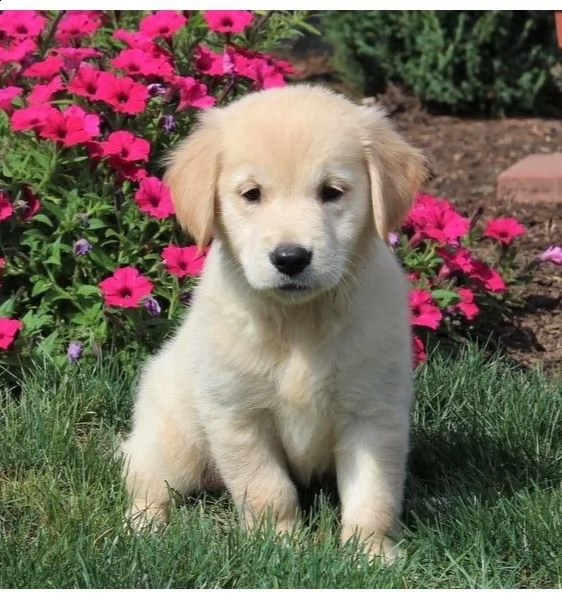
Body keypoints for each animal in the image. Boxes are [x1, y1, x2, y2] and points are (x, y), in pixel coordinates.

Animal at [120, 83, 422, 564]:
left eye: (332, 191)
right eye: (252, 194)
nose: (290, 258)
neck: (299, 320)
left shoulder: (373, 411)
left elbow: (374, 493)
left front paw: (371, 554)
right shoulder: (237, 414)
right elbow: (267, 489)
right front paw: (280, 543)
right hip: (175, 439)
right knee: (145, 478)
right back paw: (145, 530)